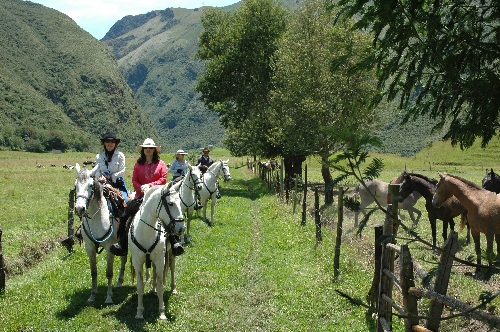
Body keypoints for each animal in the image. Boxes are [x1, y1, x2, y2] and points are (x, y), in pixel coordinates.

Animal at [73, 163, 126, 304]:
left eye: (91, 185)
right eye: (75, 186)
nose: (79, 209)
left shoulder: (109, 248)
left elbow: (109, 272)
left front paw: (108, 297)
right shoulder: (89, 248)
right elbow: (93, 272)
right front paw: (92, 295)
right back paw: (119, 282)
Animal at [128, 180, 185, 320]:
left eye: (180, 203)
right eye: (170, 203)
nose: (182, 228)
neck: (145, 232)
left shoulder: (160, 260)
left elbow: (160, 286)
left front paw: (162, 312)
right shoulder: (138, 262)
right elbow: (140, 286)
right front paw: (139, 312)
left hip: (170, 255)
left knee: (172, 268)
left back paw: (173, 289)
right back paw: (152, 289)